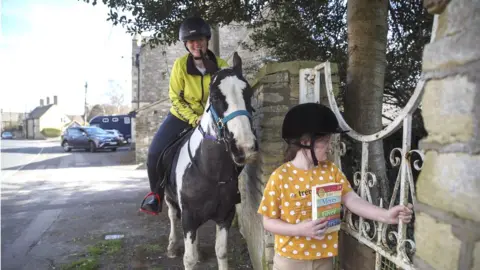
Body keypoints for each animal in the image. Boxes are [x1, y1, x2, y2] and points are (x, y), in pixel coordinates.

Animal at [162, 51, 258, 268]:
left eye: (248, 93)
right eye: (214, 97)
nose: (245, 148)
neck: (211, 172)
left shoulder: (225, 216)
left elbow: (221, 252)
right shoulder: (188, 218)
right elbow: (189, 259)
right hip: (169, 198)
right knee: (172, 215)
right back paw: (171, 246)